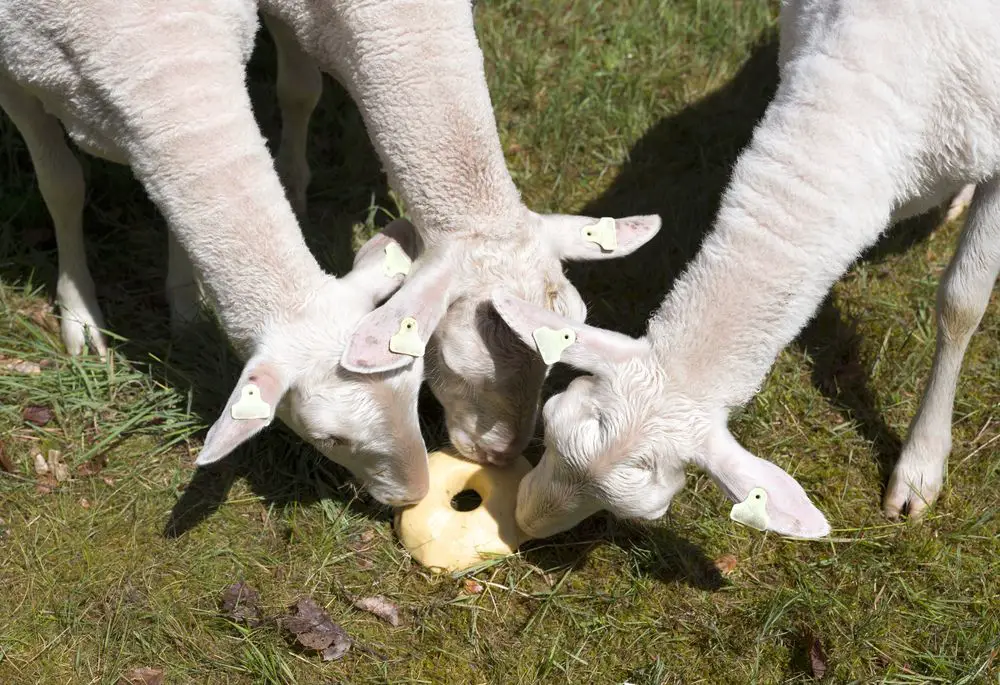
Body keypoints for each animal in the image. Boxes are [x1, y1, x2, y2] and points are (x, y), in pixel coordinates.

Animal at [2, 1, 434, 508]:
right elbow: (62, 187)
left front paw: (186, 307)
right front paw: (79, 314)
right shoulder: (16, 77)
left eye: (417, 389)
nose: (416, 494)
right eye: (331, 439)